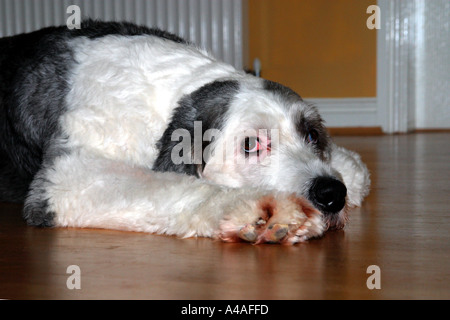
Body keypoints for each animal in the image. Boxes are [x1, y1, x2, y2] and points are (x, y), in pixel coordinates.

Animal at [0, 20, 370, 245]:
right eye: (251, 144)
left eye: (311, 134)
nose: (331, 193)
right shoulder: (67, 177)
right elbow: (167, 186)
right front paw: (258, 210)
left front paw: (346, 164)